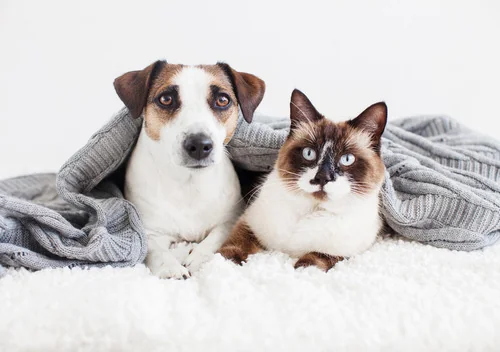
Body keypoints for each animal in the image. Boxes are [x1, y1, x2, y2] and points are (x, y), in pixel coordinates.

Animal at [114, 61, 266, 280]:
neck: (189, 181)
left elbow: (219, 236)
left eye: (222, 100)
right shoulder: (149, 231)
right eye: (166, 99)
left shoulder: (233, 218)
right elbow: (155, 249)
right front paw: (171, 268)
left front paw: (199, 258)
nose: (200, 145)